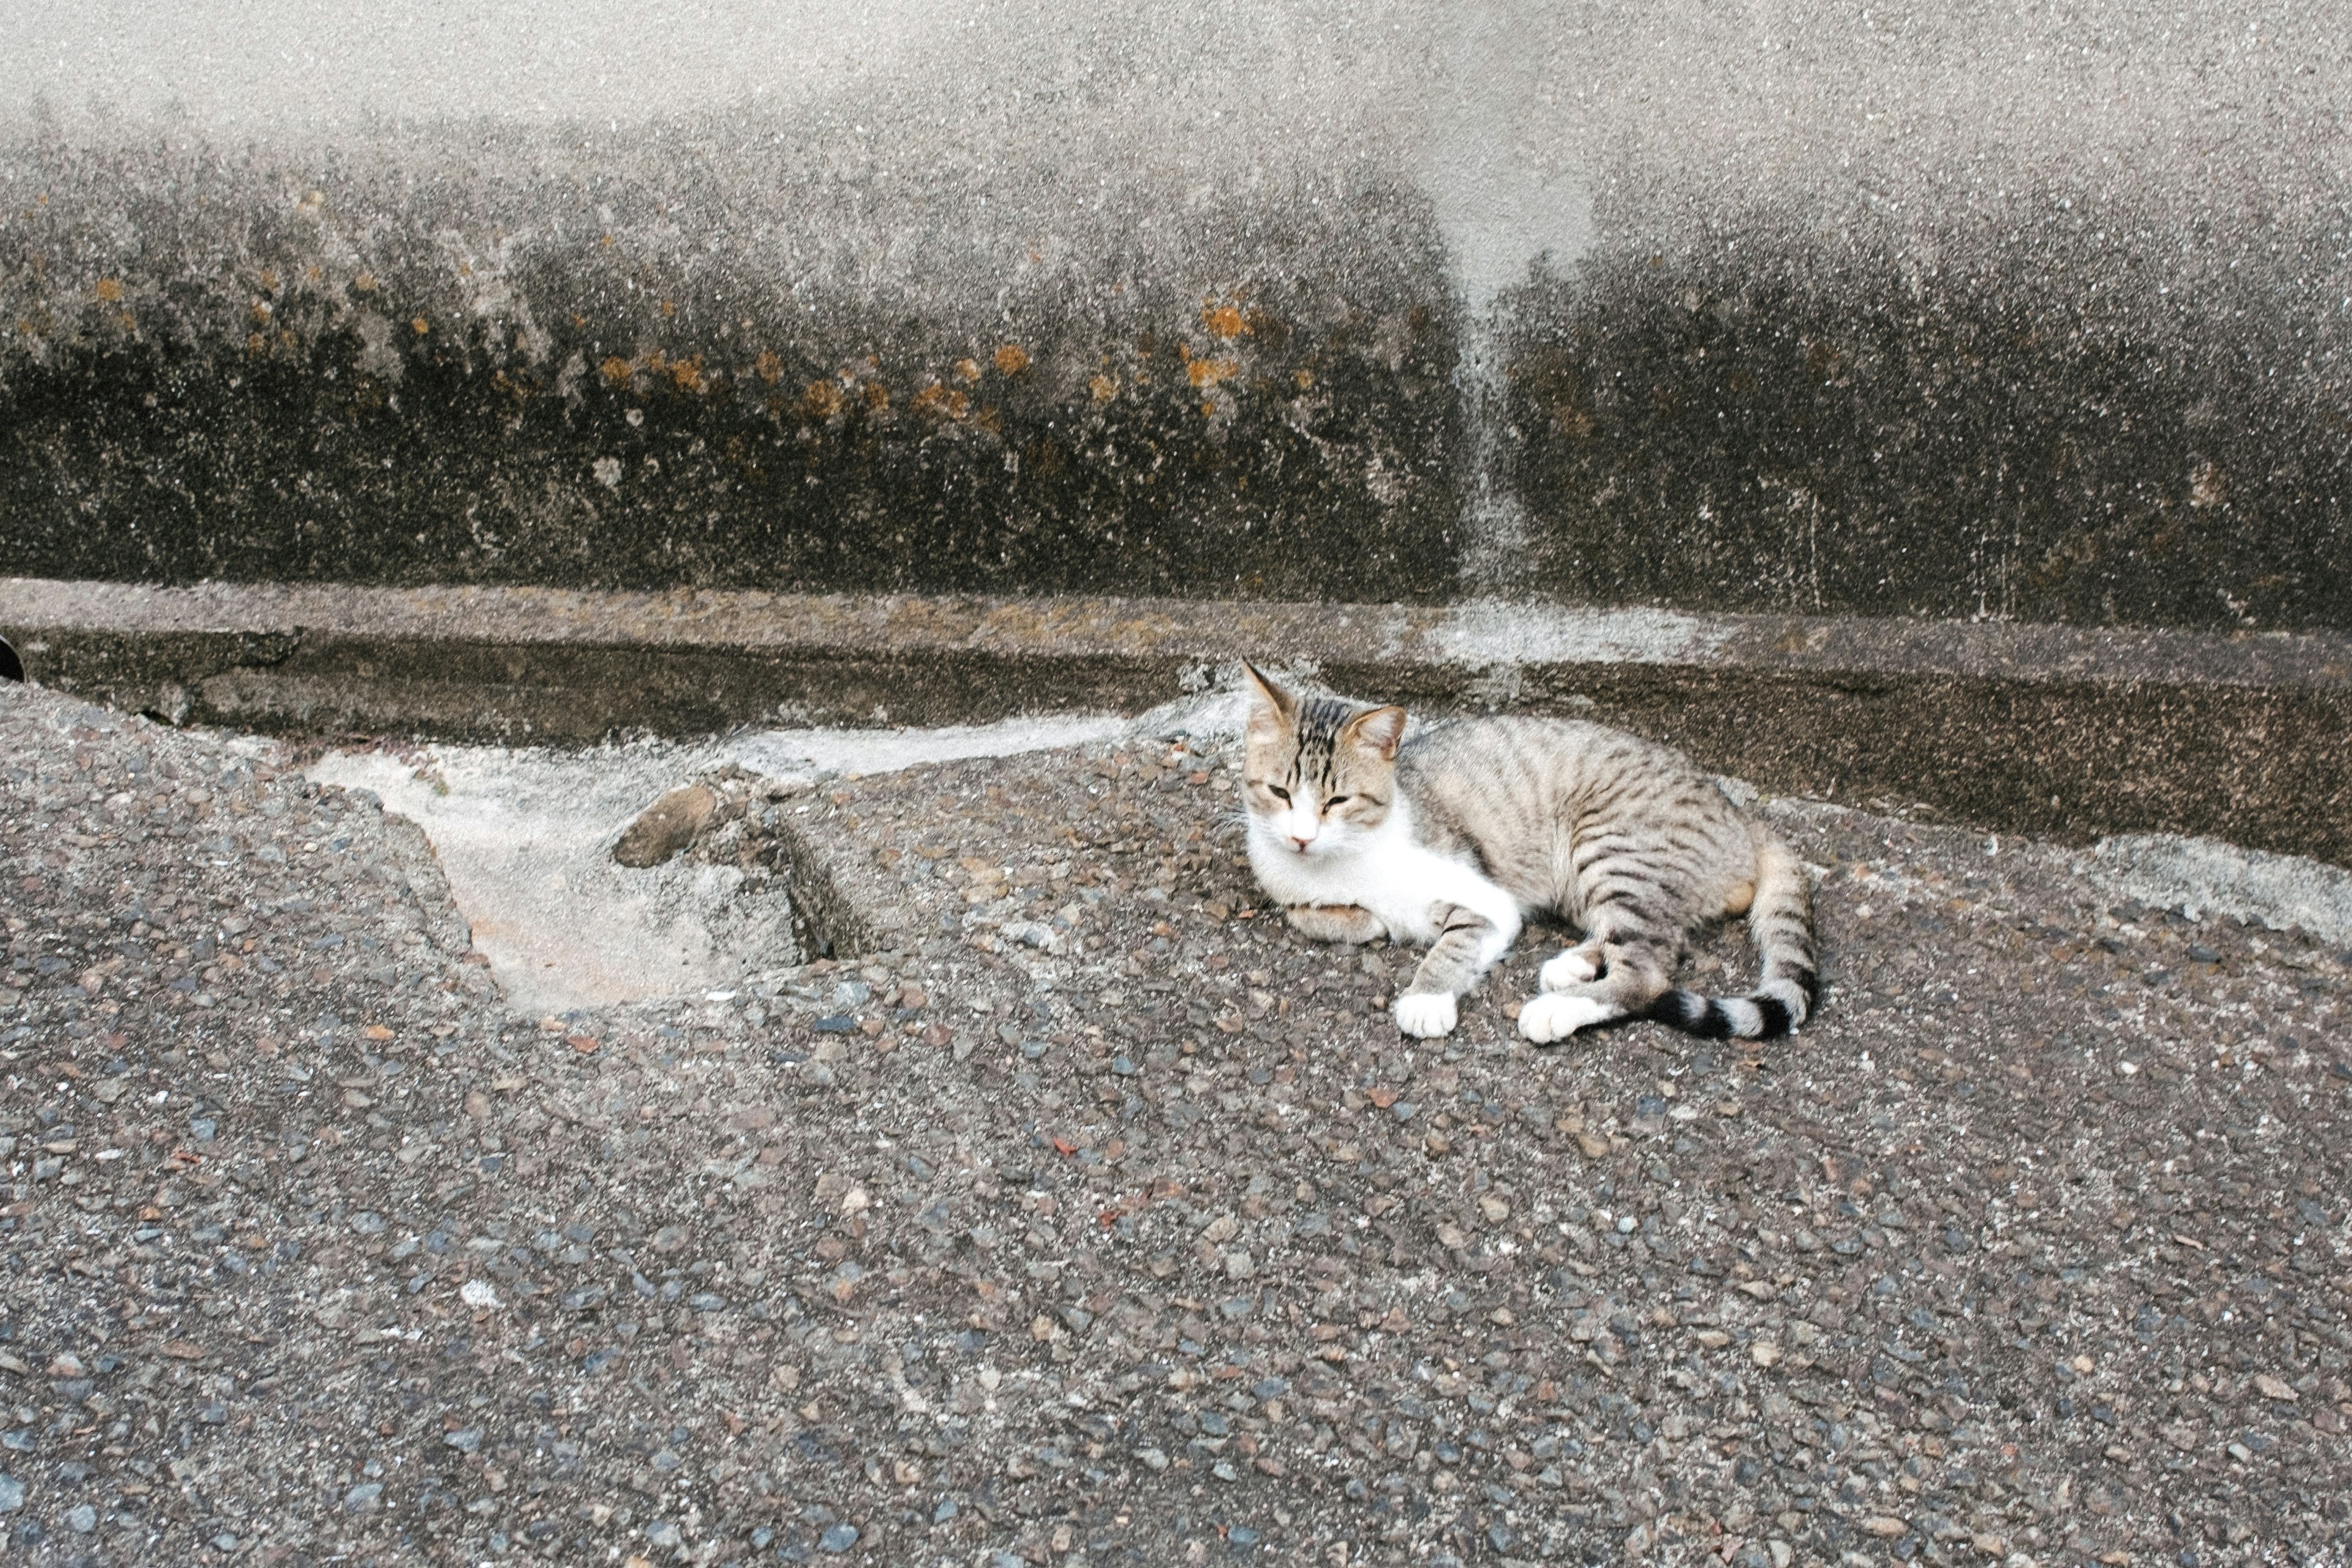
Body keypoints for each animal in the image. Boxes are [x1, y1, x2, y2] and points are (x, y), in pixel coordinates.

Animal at [1232, 663, 1815, 1044]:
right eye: (1280, 793)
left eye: (1337, 800)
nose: (1302, 837)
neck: (1338, 865)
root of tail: (1740, 813)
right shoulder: (1295, 892)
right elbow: (1316, 917)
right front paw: (1362, 920)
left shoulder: (1488, 898)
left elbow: (1454, 944)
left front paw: (1426, 996)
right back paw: (1572, 965)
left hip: (1611, 845)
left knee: (1650, 972)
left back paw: (1558, 1009)